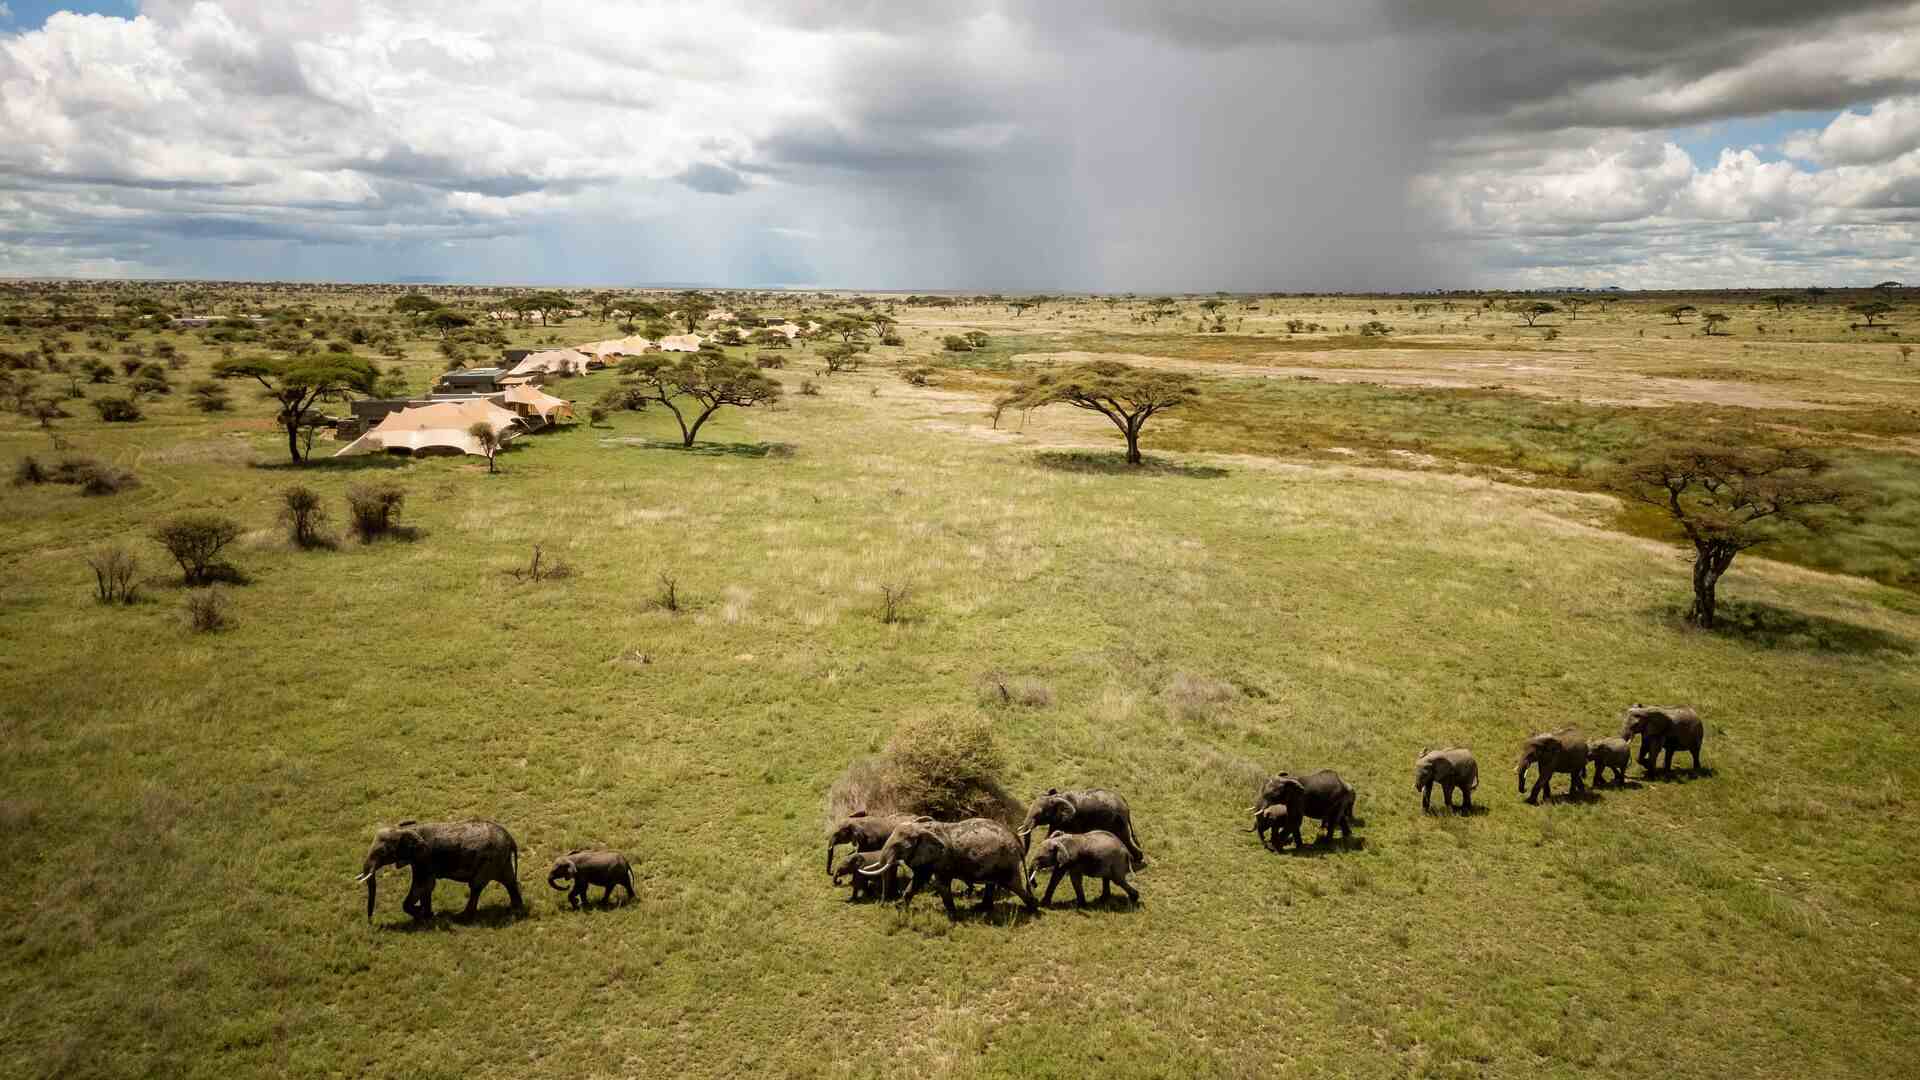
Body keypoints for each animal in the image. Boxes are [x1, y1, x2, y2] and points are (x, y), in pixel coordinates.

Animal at [356, 819, 524, 922]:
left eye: (382, 852)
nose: (370, 921)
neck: (406, 829)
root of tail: (511, 839)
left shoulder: (424, 858)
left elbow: (423, 885)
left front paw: (424, 914)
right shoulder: (419, 860)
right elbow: (426, 887)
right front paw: (427, 915)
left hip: (490, 859)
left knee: (476, 885)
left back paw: (462, 917)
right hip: (499, 858)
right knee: (509, 881)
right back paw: (515, 911)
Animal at [858, 817, 1039, 918]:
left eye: (898, 846)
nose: (882, 906)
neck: (922, 829)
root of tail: (1017, 842)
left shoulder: (943, 858)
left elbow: (941, 884)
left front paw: (954, 917)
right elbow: (918, 880)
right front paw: (901, 909)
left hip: (1007, 860)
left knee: (1013, 884)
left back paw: (1033, 910)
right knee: (994, 882)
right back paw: (982, 908)